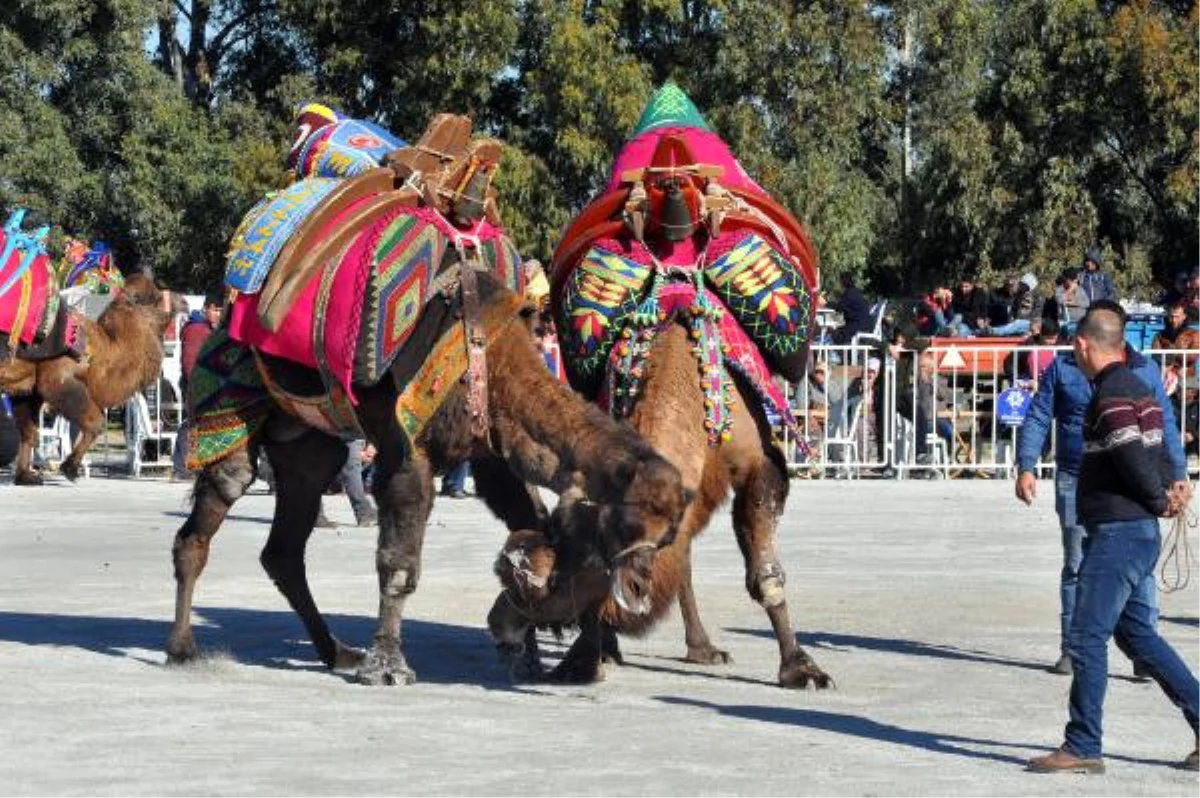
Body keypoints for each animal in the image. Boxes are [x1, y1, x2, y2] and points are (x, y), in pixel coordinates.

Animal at [0, 273, 171, 482]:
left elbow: (29, 432)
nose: (181, 304)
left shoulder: (28, 390)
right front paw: (70, 468)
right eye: (153, 297)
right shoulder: (56, 380)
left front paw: (26, 477)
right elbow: (95, 422)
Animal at [172, 268, 691, 686]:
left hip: (310, 446)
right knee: (214, 504)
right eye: (627, 525)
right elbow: (399, 561)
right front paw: (387, 668)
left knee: (283, 549)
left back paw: (336, 651)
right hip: (234, 406)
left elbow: (531, 516)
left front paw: (529, 654)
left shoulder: (490, 453)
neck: (493, 358)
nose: (641, 590)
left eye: (669, 536)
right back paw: (182, 649)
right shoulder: (407, 450)